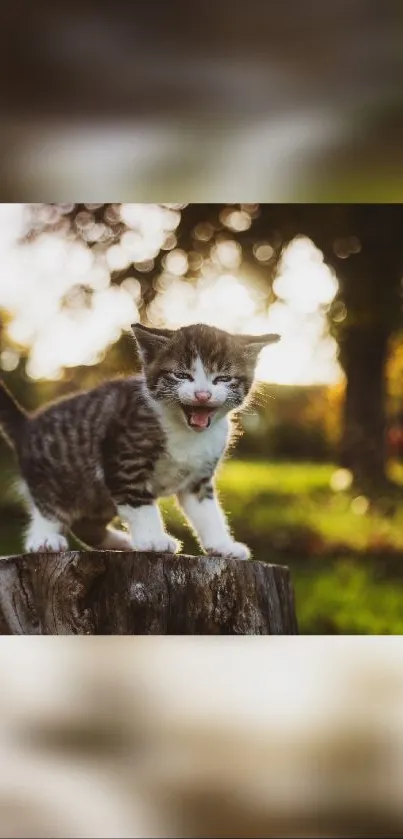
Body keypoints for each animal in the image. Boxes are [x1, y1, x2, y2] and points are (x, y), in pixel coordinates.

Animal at [0, 324, 280, 560]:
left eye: (222, 378)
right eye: (181, 375)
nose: (203, 394)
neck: (186, 431)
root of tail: (27, 425)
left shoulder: (199, 478)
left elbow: (208, 512)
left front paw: (222, 545)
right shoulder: (124, 458)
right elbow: (138, 502)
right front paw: (153, 539)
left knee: (87, 524)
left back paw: (121, 542)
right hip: (58, 475)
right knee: (49, 505)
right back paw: (44, 538)